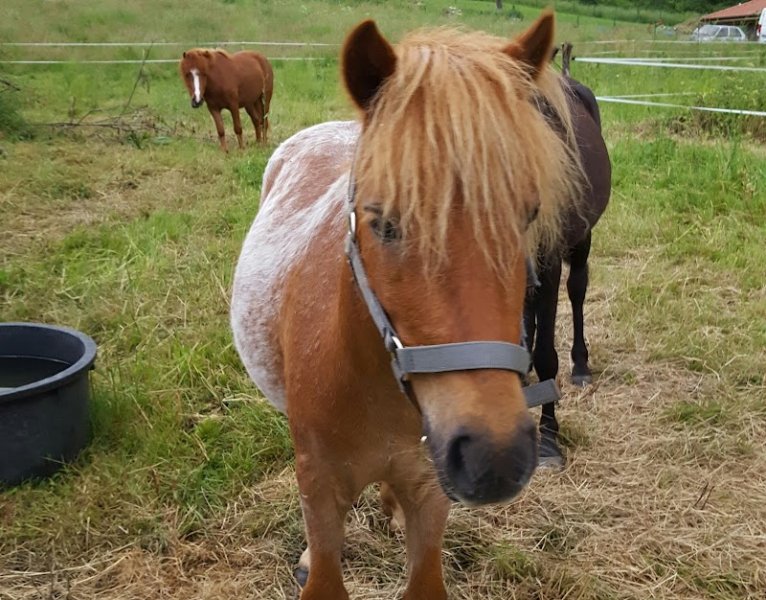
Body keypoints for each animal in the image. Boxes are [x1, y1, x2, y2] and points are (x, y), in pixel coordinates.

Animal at [232, 12, 584, 599]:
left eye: (529, 215)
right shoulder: (320, 485)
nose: (495, 457)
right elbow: (323, 562)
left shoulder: (431, 490)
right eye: (385, 223)